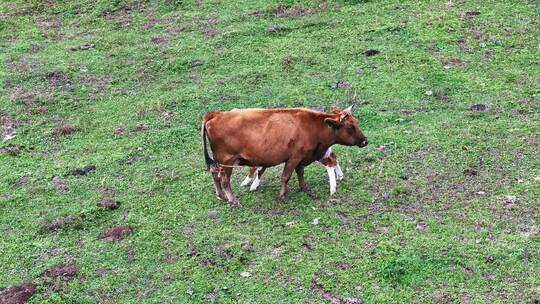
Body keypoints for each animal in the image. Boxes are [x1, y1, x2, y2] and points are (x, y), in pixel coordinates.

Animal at [200, 105, 370, 208]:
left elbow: (300, 173)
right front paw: (283, 195)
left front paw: (304, 188)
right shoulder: (294, 158)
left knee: (214, 174)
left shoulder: (302, 158)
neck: (312, 126)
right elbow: (285, 176)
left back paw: (221, 196)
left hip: (220, 162)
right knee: (224, 180)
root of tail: (215, 114)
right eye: (350, 126)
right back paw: (233, 200)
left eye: (356, 122)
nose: (365, 141)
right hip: (227, 161)